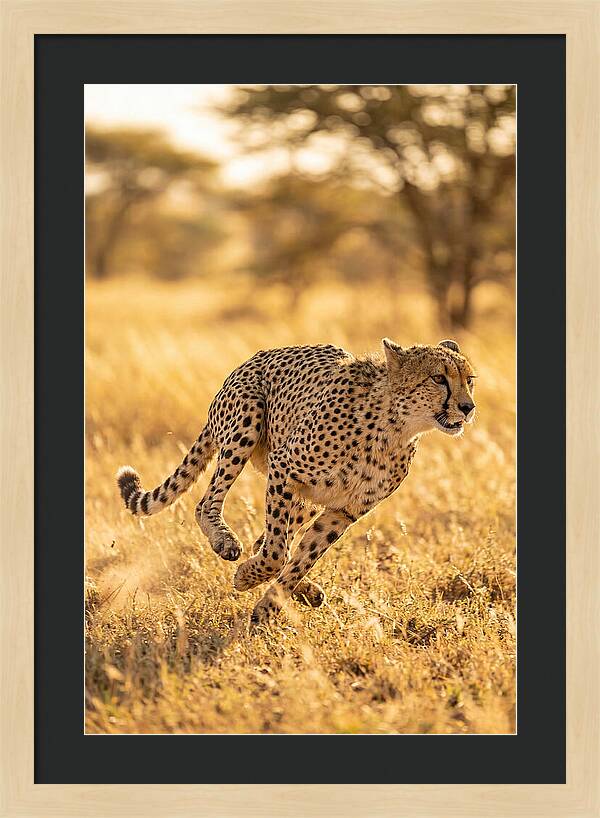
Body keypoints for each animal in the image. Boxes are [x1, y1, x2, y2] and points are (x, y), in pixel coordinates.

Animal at [117, 338, 476, 624]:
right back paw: (225, 542)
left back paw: (306, 591)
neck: (396, 427)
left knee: (267, 540)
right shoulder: (284, 468)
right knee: (208, 504)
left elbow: (302, 557)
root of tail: (251, 360)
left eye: (469, 380)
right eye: (438, 378)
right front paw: (247, 578)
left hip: (307, 498)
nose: (468, 407)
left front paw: (269, 606)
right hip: (247, 422)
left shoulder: (343, 511)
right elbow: (277, 553)